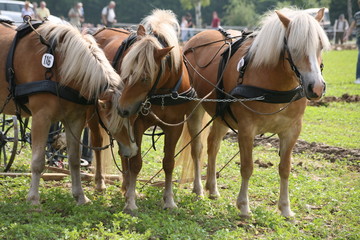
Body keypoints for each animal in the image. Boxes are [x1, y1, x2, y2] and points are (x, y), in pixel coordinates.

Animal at [0, 19, 138, 205]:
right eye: (117, 122)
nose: (133, 150)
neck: (59, 64)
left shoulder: (75, 119)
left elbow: (74, 160)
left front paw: (80, 196)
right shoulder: (41, 117)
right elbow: (38, 161)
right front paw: (34, 199)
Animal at [94, 9, 207, 213]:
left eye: (145, 78)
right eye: (124, 71)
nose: (122, 109)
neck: (161, 92)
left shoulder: (174, 126)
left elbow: (168, 163)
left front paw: (169, 200)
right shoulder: (137, 124)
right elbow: (136, 162)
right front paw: (131, 202)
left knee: (124, 153)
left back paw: (125, 186)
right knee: (100, 143)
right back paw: (104, 184)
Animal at [181, 7, 330, 218]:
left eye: (320, 45)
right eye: (293, 47)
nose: (316, 88)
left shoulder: (292, 130)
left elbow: (285, 168)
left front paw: (285, 208)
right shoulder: (246, 129)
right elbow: (247, 167)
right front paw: (244, 205)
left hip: (222, 114)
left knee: (213, 146)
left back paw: (213, 188)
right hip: (196, 108)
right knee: (197, 149)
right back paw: (199, 189)